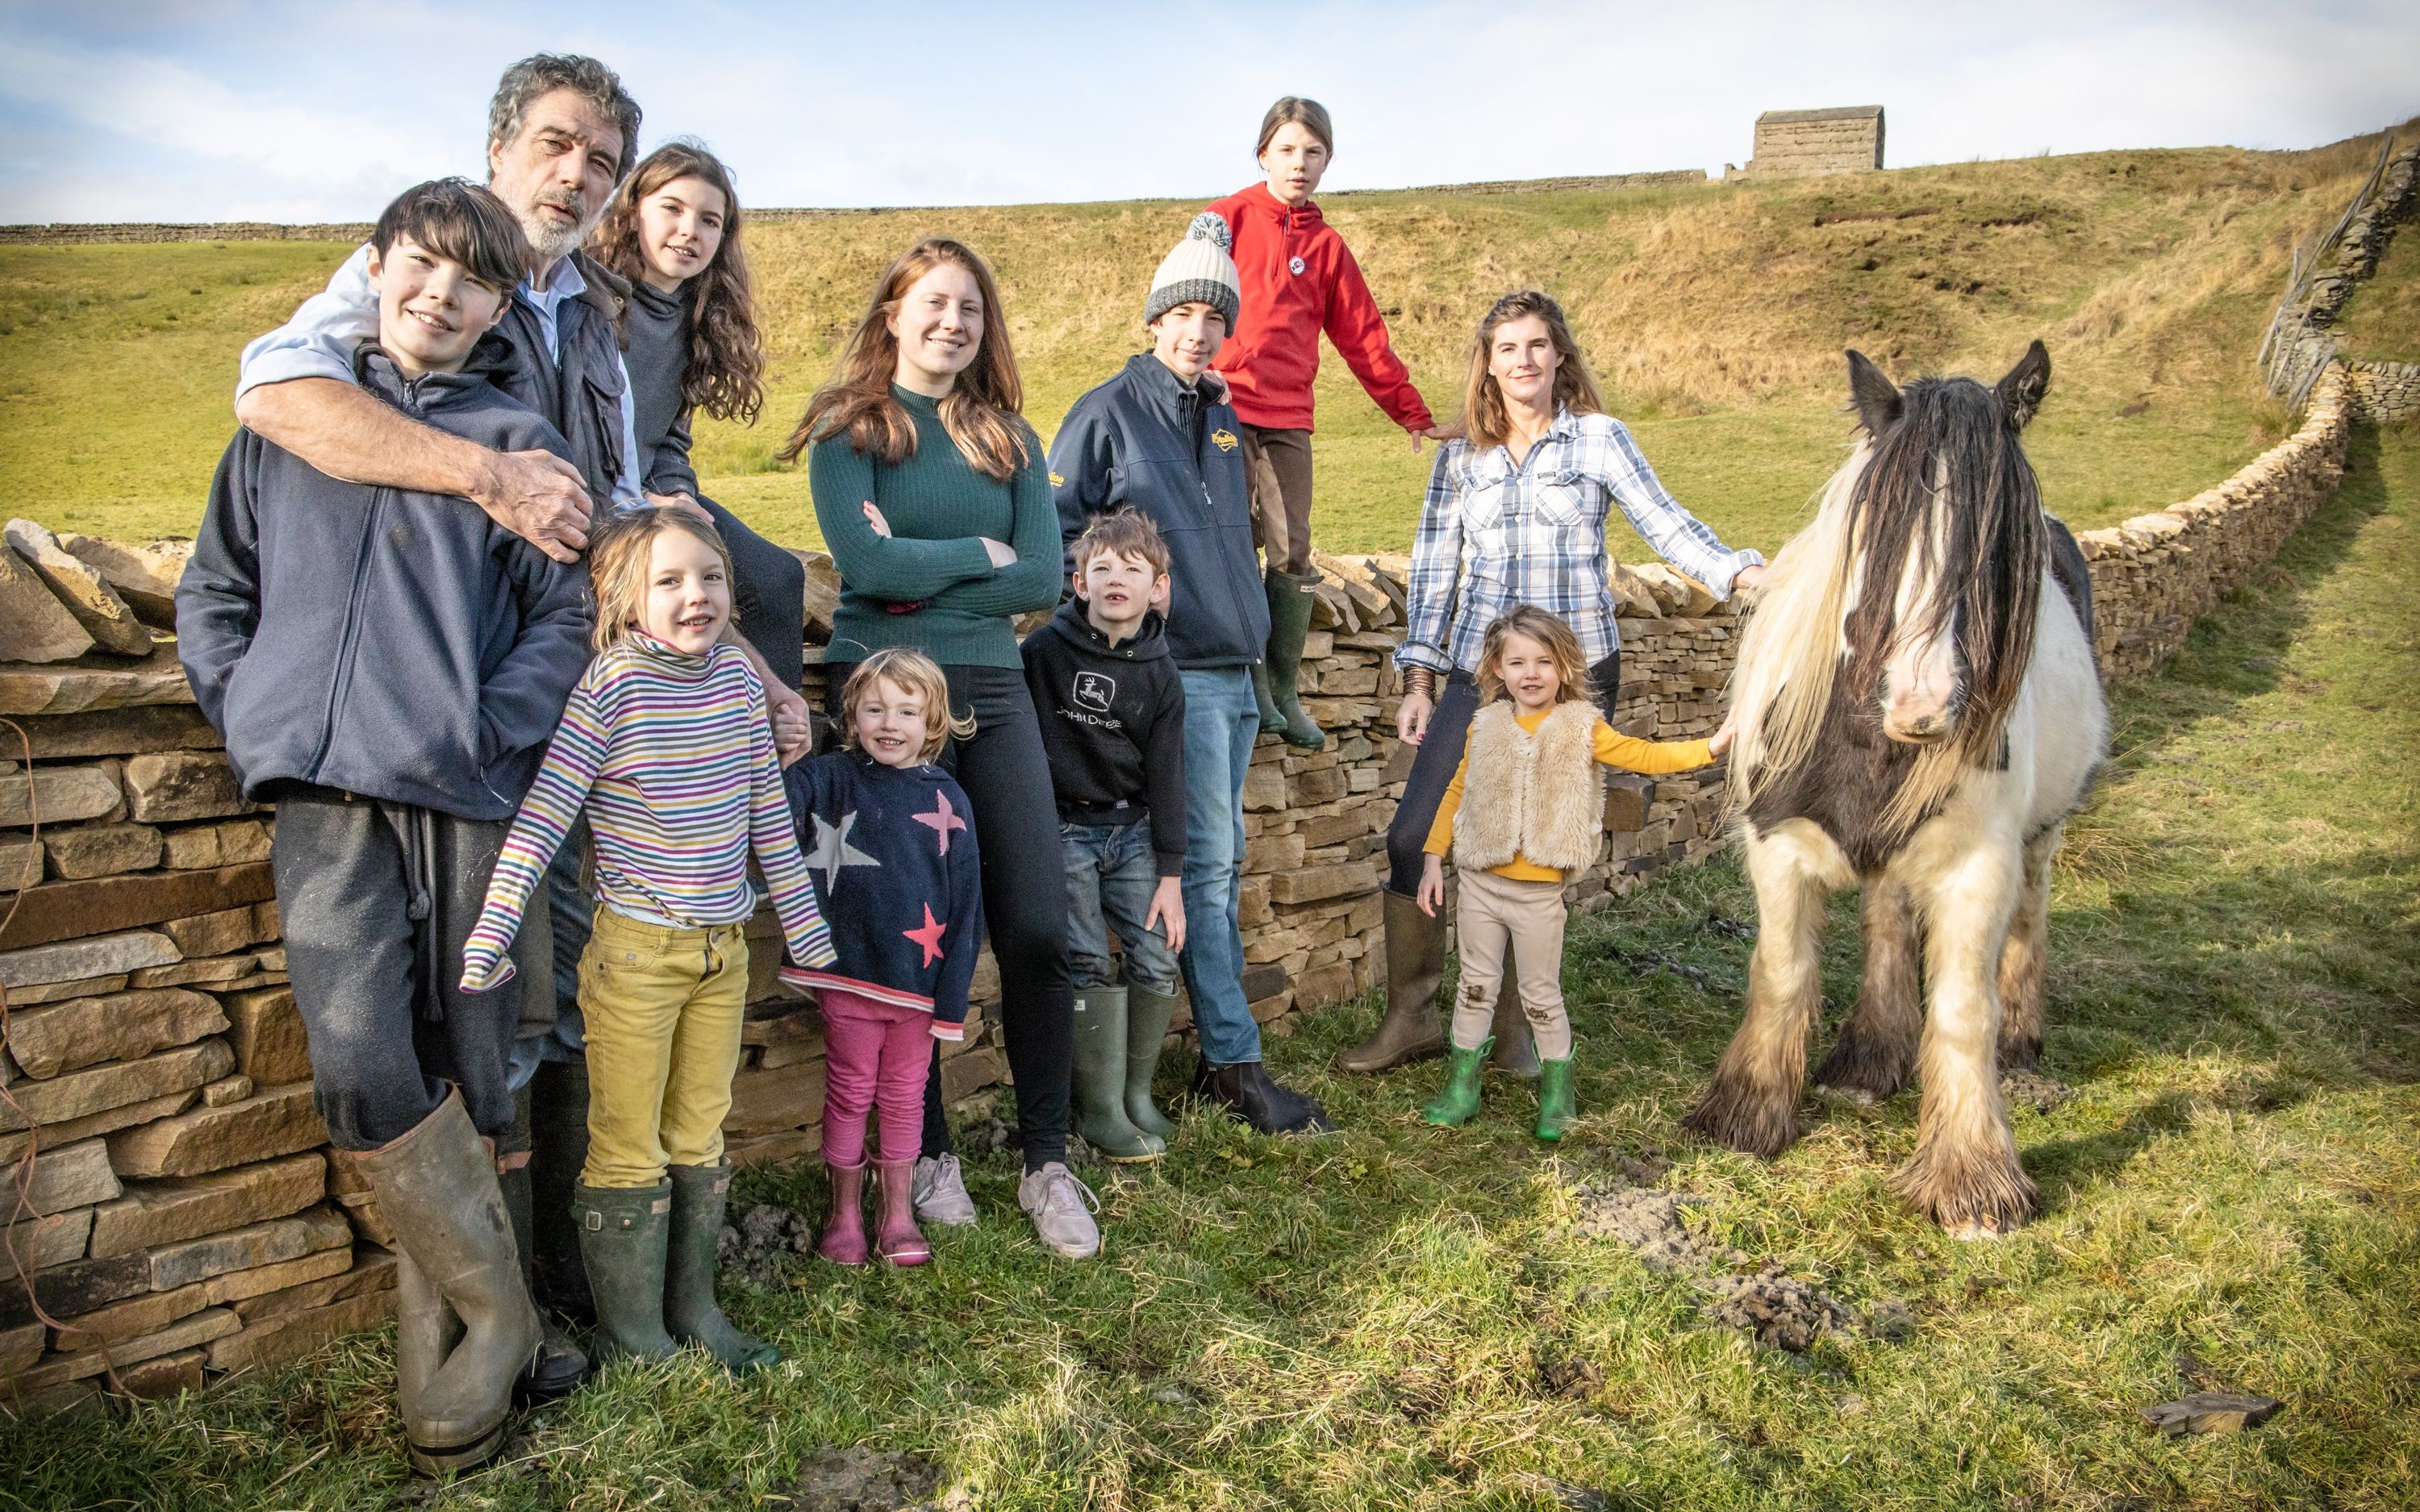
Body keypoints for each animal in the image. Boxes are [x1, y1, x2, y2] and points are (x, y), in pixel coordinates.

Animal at [1684, 346, 2101, 1239]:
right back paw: (1869, 1057)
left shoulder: (1979, 868)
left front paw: (1973, 1180)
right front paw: (1748, 1114)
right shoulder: (1775, 847)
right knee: (1886, 918)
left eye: (1999, 551)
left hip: (2041, 836)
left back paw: (2020, 1038)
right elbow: (1782, 971)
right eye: (1875, 529)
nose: (1921, 706)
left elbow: (1963, 1010)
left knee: (2027, 921)